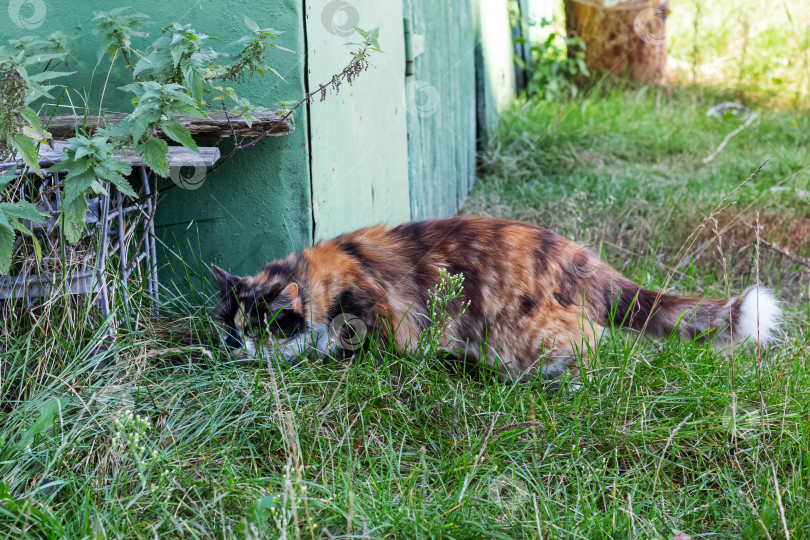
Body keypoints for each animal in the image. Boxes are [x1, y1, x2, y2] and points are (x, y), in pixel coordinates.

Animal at [211, 215, 780, 380]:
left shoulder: (379, 313)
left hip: (529, 334)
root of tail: (583, 258)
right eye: (234, 330)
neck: (318, 275)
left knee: (590, 347)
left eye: (263, 328)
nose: (240, 351)